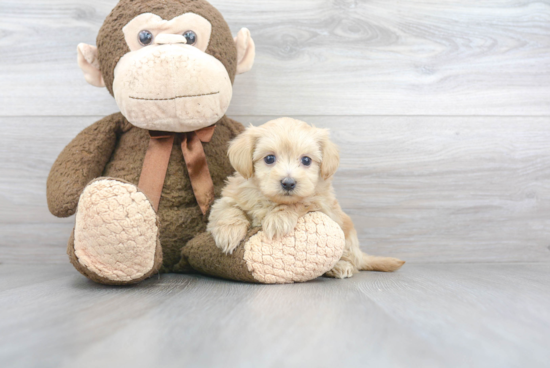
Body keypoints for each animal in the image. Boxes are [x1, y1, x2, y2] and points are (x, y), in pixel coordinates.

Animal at [207, 118, 406, 278]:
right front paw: (228, 233)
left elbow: (299, 203)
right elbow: (228, 209)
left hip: (347, 237)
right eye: (269, 158)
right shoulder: (231, 196)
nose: (288, 183)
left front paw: (278, 219)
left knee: (349, 260)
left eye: (306, 160)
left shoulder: (320, 202)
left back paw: (341, 267)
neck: (272, 200)